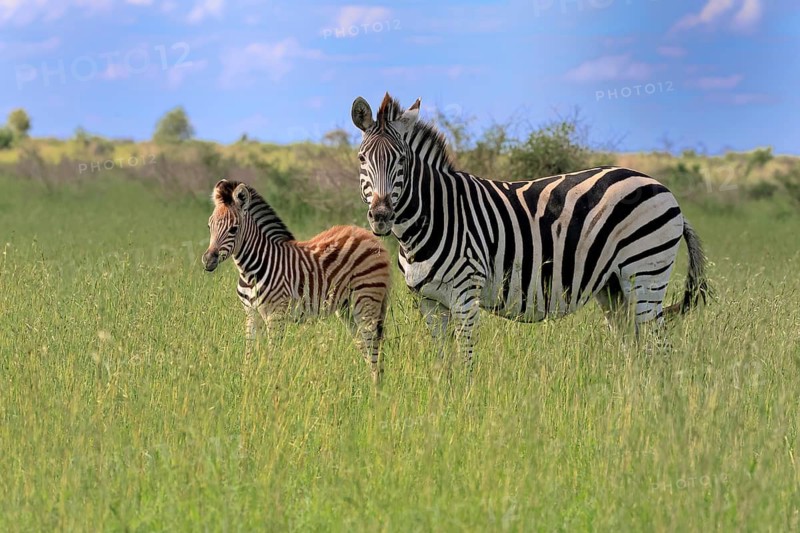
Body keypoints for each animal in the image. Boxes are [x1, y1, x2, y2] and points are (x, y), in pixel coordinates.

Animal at [201, 179, 391, 384]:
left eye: (233, 229)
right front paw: (248, 383)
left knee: (373, 346)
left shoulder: (276, 314)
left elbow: (272, 356)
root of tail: (372, 237)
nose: (208, 260)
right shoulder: (251, 313)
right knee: (364, 345)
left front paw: (271, 385)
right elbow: (249, 355)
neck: (250, 271)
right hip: (347, 308)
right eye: (209, 226)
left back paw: (376, 388)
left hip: (366, 301)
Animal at [350, 93, 710, 366]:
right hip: (613, 286)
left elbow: (466, 360)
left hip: (645, 273)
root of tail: (659, 186)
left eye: (402, 161)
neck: (432, 217)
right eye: (361, 159)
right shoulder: (427, 302)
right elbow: (442, 363)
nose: (381, 216)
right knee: (636, 349)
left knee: (660, 349)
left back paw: (659, 402)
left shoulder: (466, 294)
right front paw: (441, 402)